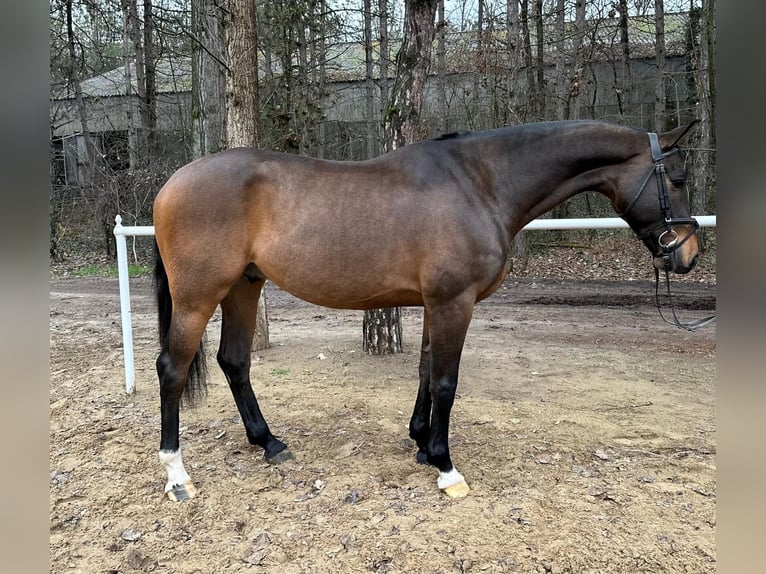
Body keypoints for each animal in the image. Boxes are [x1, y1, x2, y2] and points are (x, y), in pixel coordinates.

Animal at [152, 119, 701, 501]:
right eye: (676, 179)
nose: (687, 255)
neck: (480, 183)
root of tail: (170, 185)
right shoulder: (454, 302)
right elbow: (445, 381)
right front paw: (445, 466)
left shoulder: (436, 303)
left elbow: (424, 370)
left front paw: (420, 442)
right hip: (198, 297)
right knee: (173, 369)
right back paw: (177, 476)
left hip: (244, 287)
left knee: (234, 362)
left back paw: (268, 443)